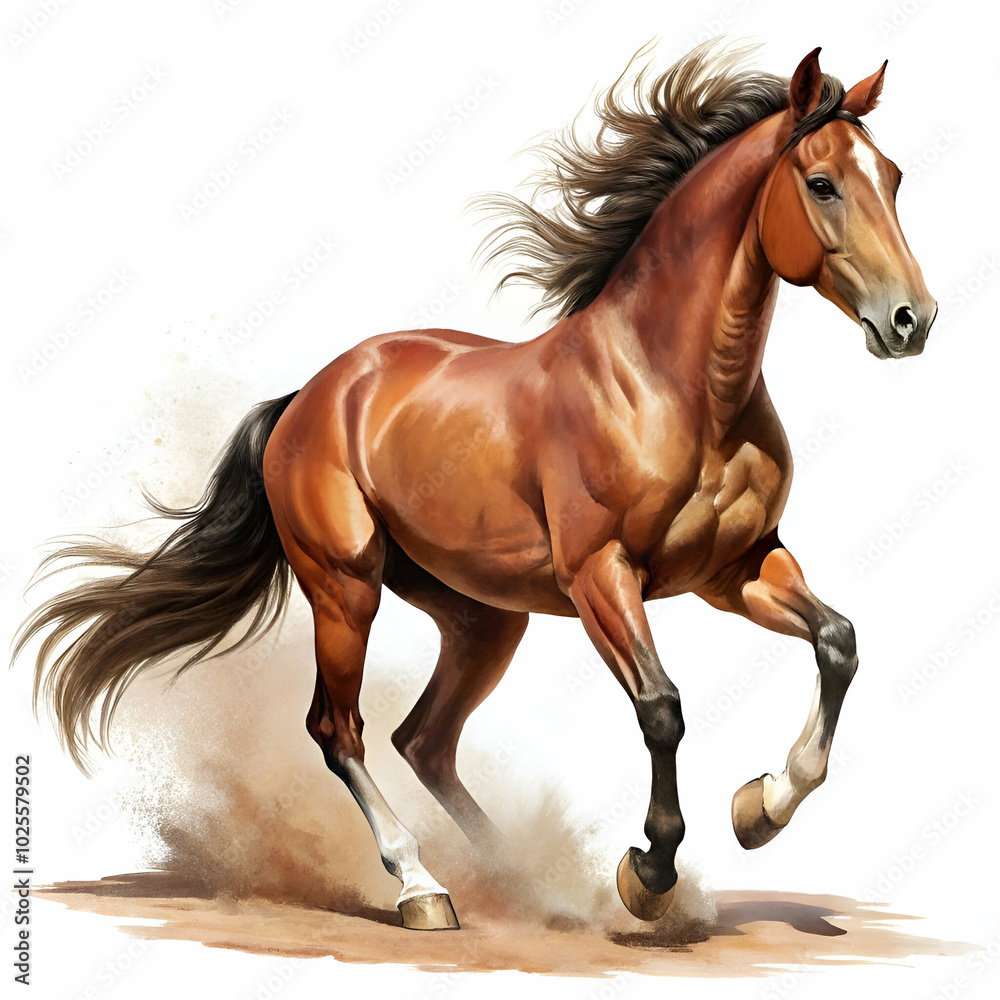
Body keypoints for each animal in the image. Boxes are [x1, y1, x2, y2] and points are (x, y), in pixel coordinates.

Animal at [16, 41, 936, 931]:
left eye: (892, 176)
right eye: (821, 184)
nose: (912, 320)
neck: (675, 387)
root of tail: (310, 395)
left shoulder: (736, 568)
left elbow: (839, 642)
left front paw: (760, 810)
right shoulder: (602, 576)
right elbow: (663, 708)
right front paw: (649, 875)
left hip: (483, 615)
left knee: (423, 739)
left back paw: (530, 888)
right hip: (345, 589)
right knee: (340, 729)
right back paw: (423, 890)